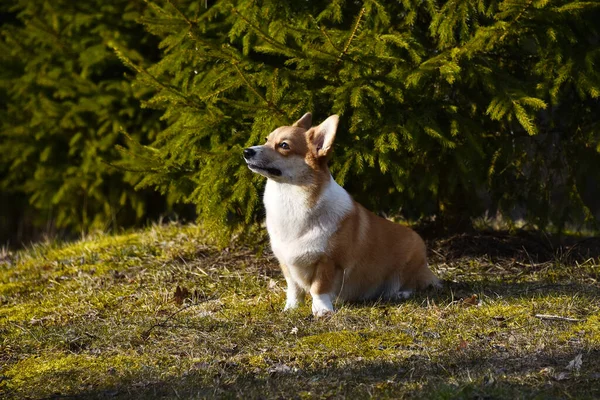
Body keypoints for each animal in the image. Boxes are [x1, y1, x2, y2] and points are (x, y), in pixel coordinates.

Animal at [241, 111, 438, 316]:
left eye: (284, 145)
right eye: (266, 140)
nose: (246, 151)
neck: (290, 198)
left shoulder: (328, 261)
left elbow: (319, 288)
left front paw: (322, 310)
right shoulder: (286, 263)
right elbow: (294, 289)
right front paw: (291, 308)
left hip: (410, 264)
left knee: (415, 284)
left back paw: (401, 293)